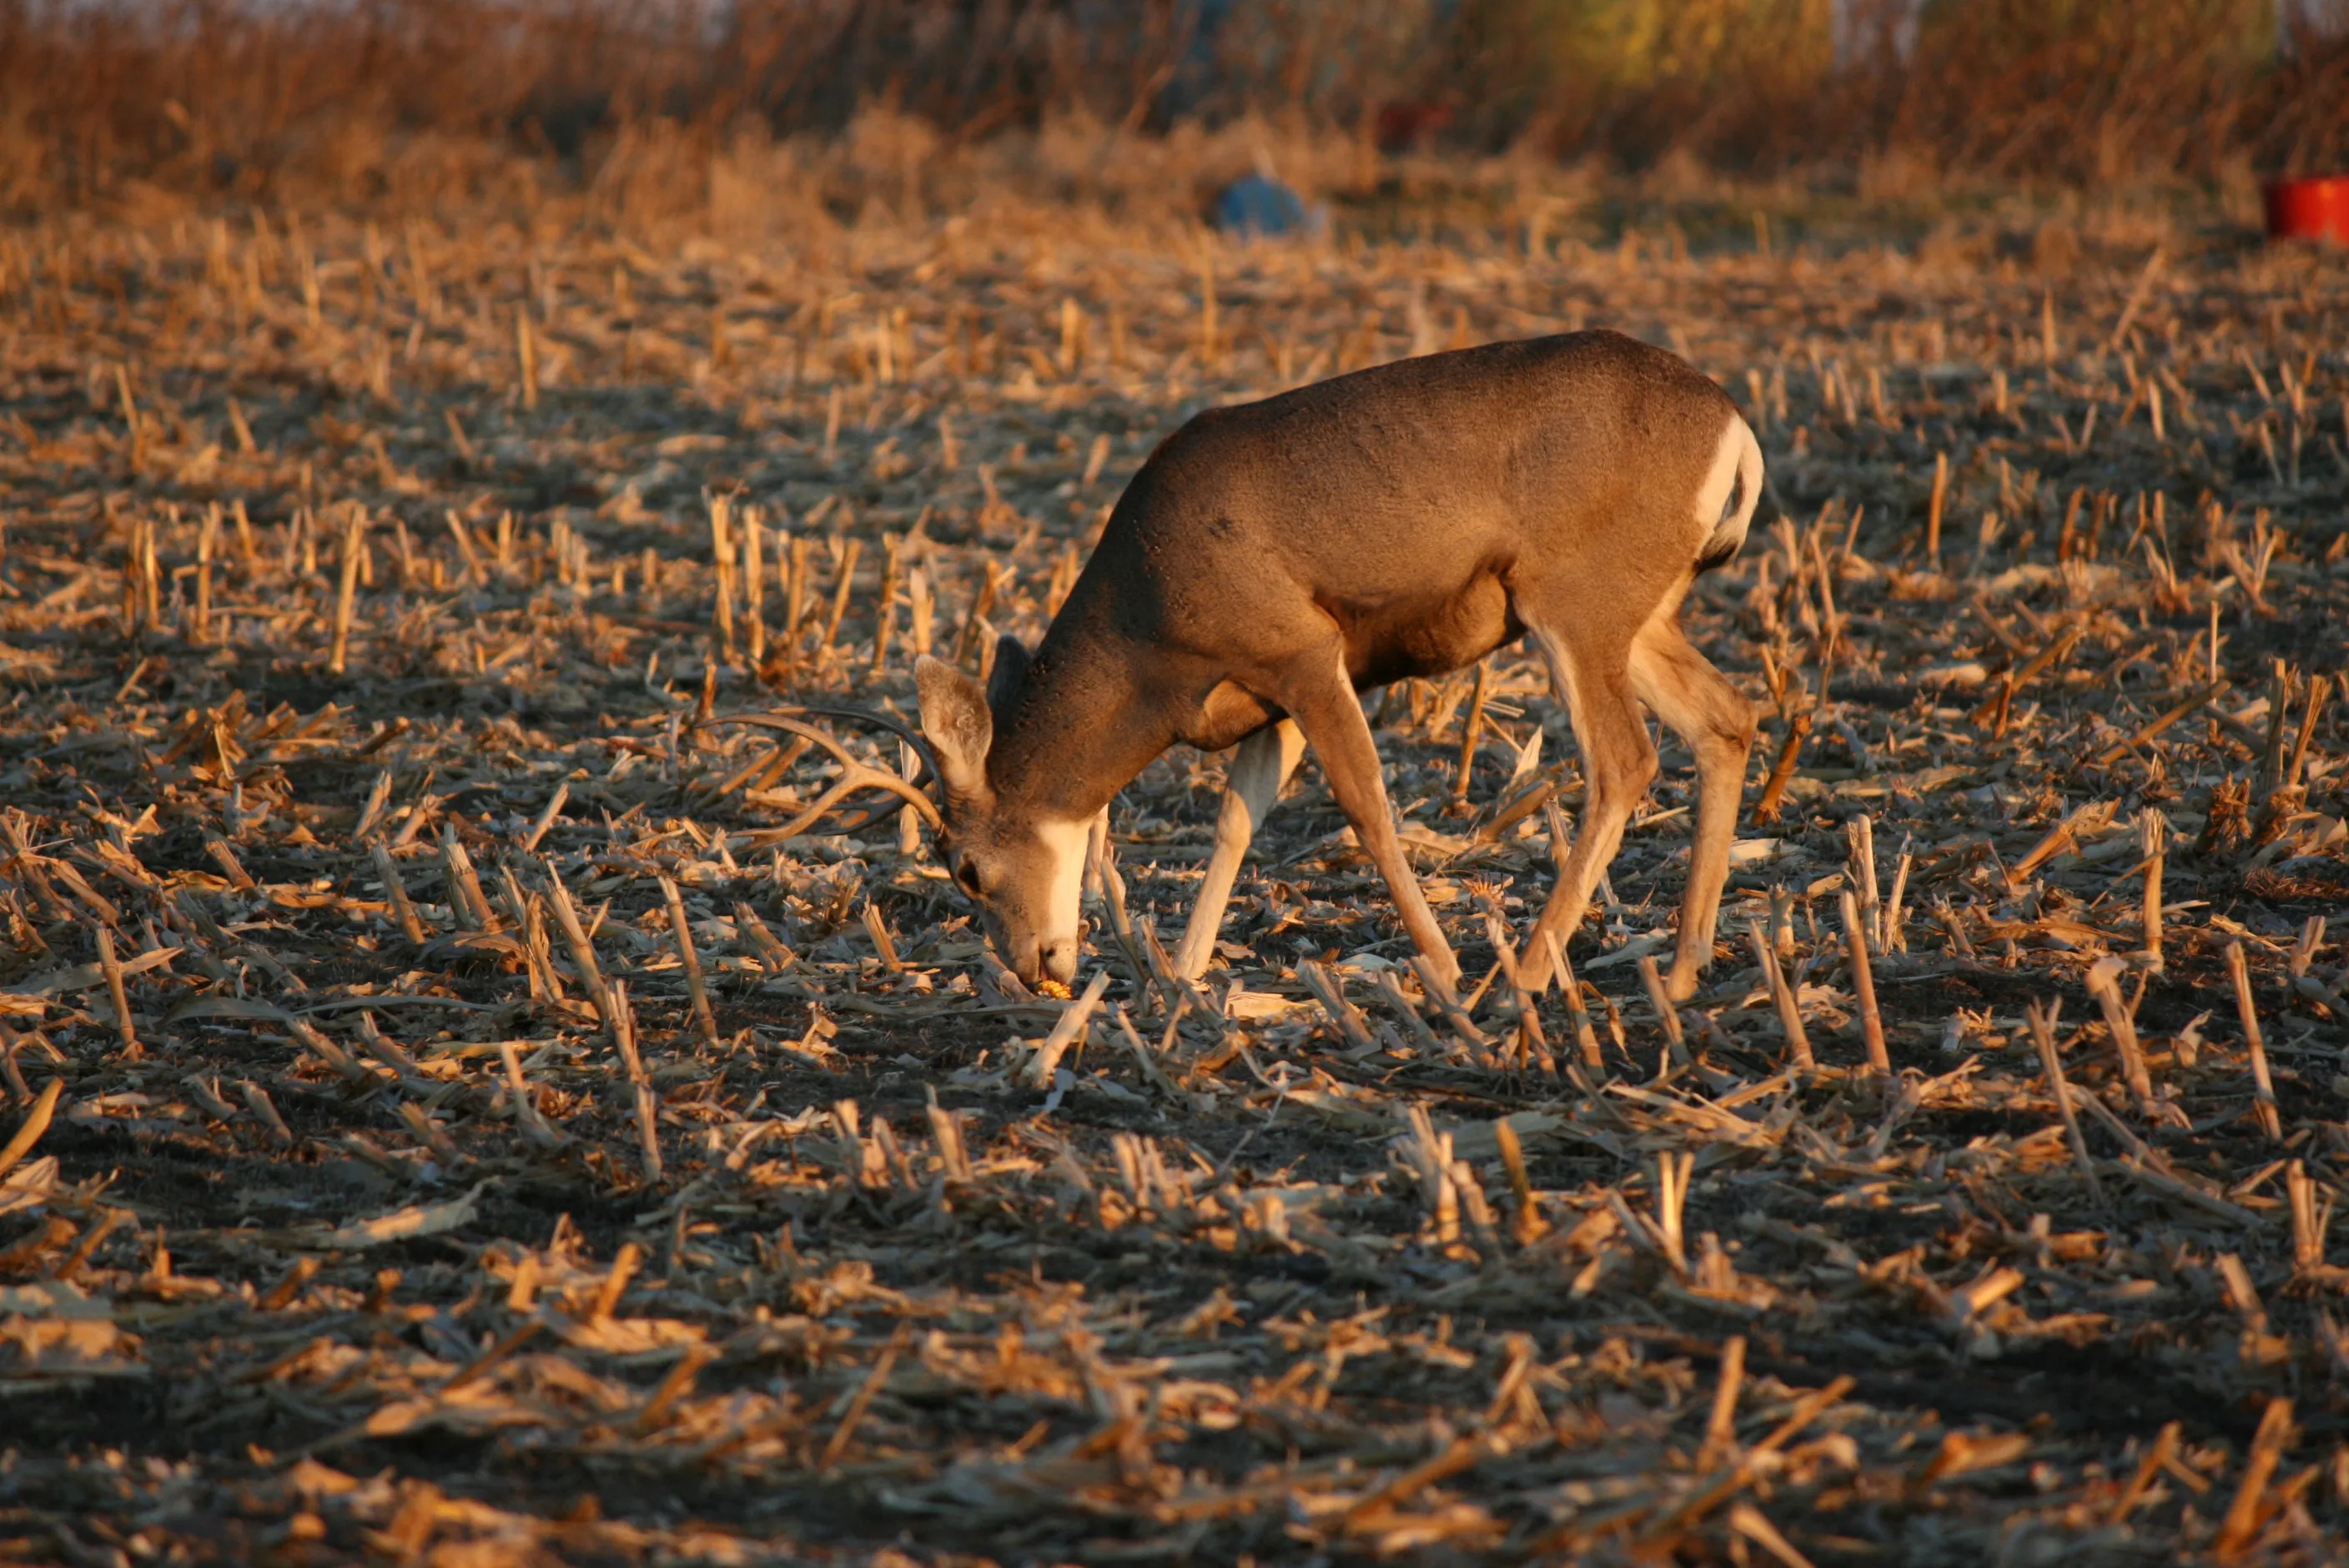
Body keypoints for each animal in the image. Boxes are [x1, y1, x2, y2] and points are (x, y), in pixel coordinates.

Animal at [767, 330, 1764, 1005]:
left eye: (966, 871)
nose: (1032, 966)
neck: (1149, 620)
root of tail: (1735, 429)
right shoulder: (1265, 699)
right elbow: (1235, 823)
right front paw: (1180, 972)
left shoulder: (1301, 647)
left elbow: (1366, 805)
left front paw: (1443, 969)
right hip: (1638, 611)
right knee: (1727, 718)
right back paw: (1682, 969)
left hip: (1571, 599)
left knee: (1624, 758)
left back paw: (1520, 972)